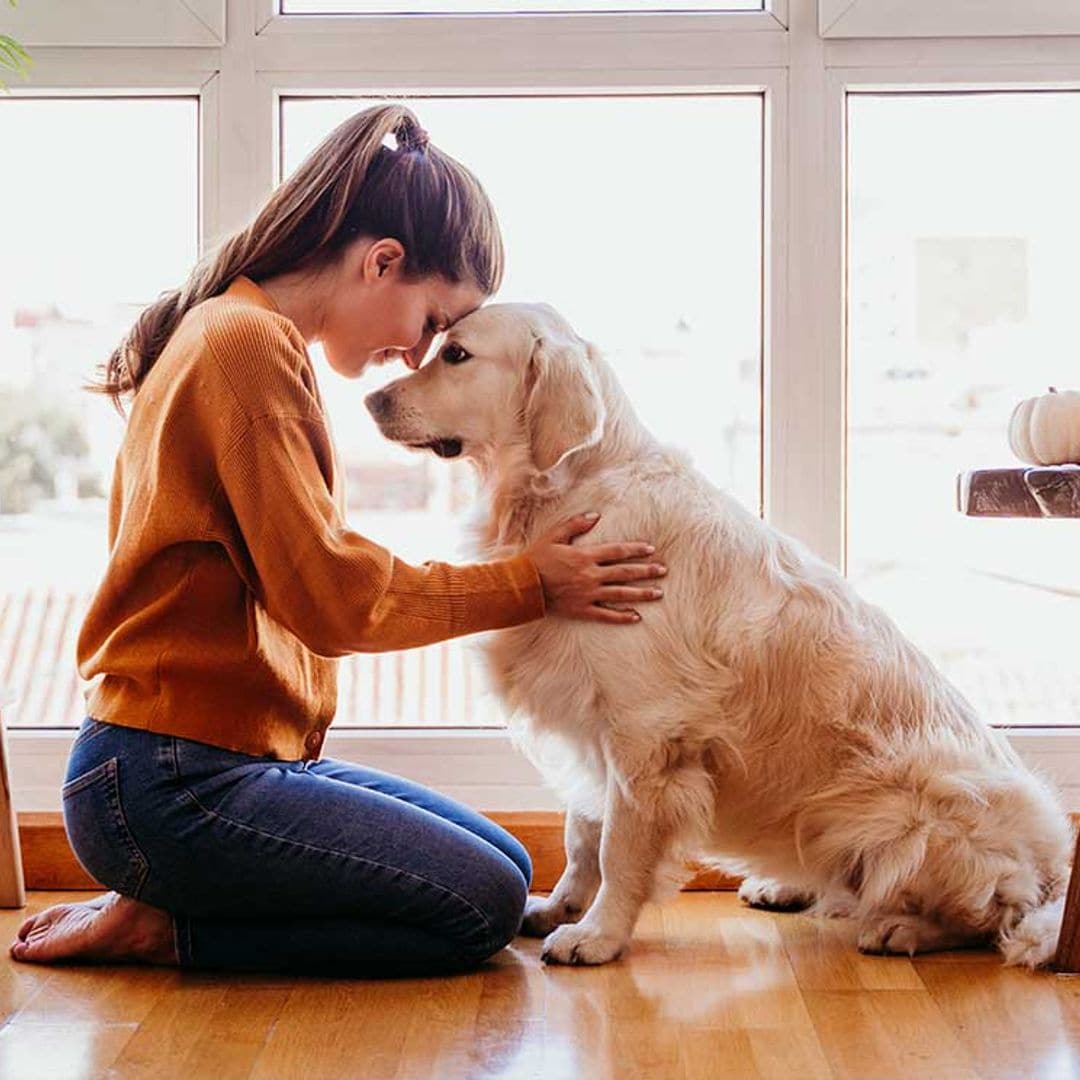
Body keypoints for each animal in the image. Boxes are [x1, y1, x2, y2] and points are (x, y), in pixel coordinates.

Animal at [365, 300, 1071, 967]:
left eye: (456, 354)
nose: (371, 399)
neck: (573, 491)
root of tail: (1053, 868)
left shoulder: (643, 730)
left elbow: (617, 847)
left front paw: (596, 935)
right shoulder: (591, 722)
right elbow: (581, 834)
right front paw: (561, 907)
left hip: (909, 808)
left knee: (990, 913)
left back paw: (903, 928)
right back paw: (787, 886)